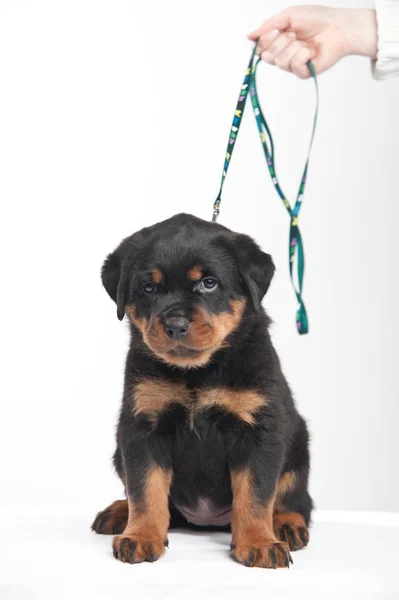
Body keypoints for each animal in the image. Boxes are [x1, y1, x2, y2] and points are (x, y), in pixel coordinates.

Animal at [92, 213, 314, 568]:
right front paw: (140, 536)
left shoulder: (260, 431)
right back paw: (118, 512)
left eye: (209, 283)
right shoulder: (142, 427)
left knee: (296, 499)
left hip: (298, 445)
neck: (199, 372)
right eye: (149, 287)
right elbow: (144, 489)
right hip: (118, 450)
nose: (176, 326)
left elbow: (256, 495)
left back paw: (287, 525)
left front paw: (260, 543)